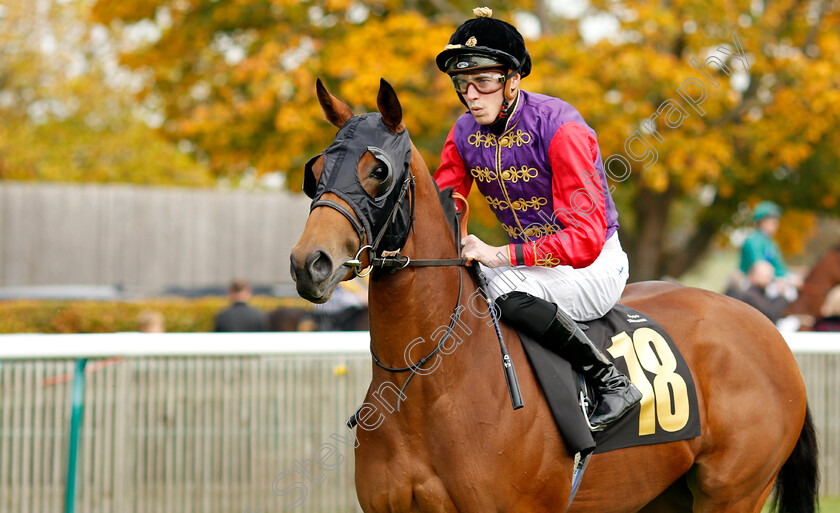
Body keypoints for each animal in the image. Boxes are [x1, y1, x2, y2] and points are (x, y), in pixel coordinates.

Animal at [292, 78, 816, 510]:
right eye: (315, 169)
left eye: (378, 170)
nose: (309, 263)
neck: (425, 383)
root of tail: (766, 330)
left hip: (733, 492)